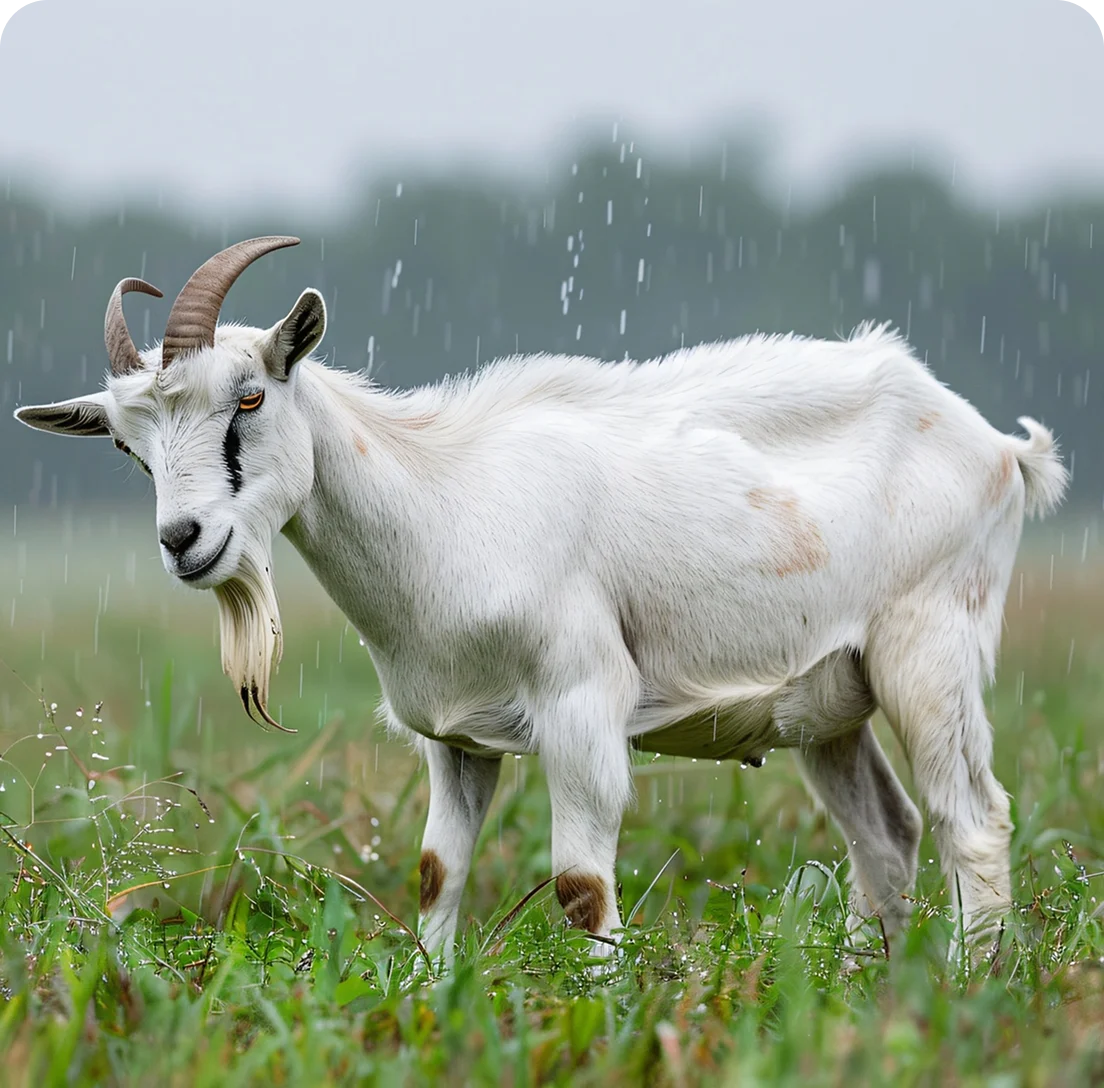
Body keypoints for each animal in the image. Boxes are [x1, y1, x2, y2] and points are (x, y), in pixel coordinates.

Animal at [15, 237, 1069, 962]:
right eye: (127, 445)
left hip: (929, 652)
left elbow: (579, 886)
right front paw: (425, 999)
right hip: (830, 698)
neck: (444, 498)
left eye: (247, 398)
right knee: (887, 835)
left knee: (972, 822)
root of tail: (997, 448)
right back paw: (866, 989)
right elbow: (437, 875)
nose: (185, 541)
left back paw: (968, 989)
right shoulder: (454, 738)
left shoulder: (581, 704)